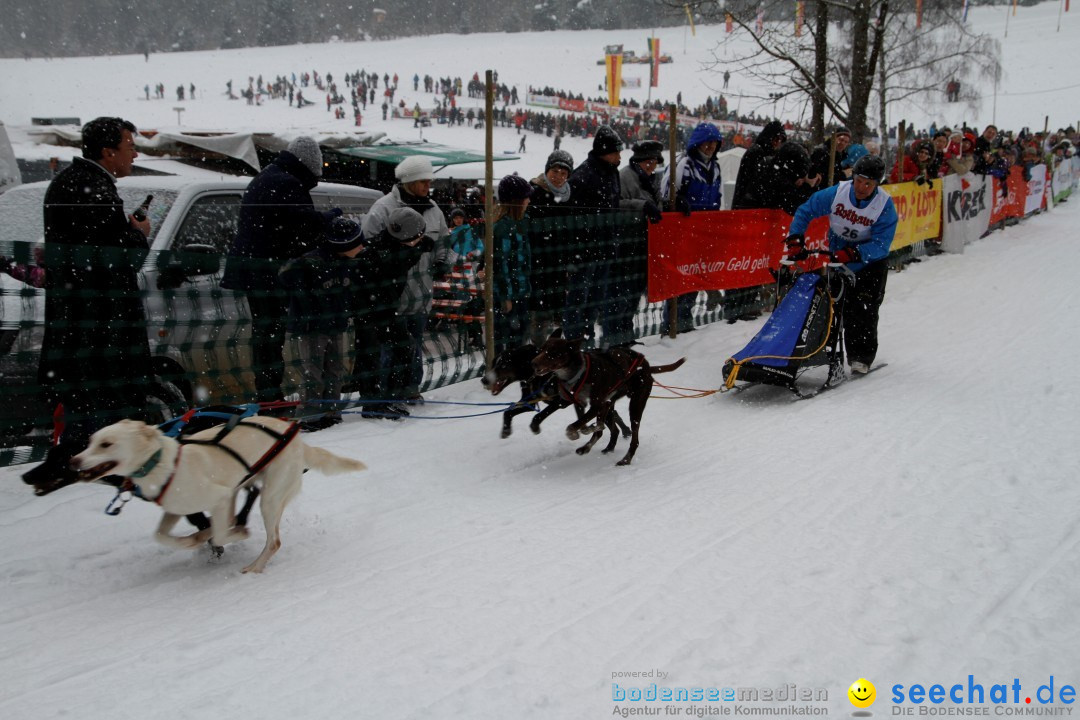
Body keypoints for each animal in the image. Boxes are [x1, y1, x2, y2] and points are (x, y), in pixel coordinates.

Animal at [72, 416, 367, 574]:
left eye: (106, 444)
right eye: (90, 442)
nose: (74, 461)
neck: (164, 465)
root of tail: (298, 440)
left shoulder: (221, 497)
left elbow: (222, 533)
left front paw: (235, 533)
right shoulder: (177, 507)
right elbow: (161, 535)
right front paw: (194, 539)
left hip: (271, 498)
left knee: (274, 542)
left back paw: (254, 567)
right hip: (251, 486)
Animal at [529, 338, 682, 468]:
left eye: (553, 352)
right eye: (541, 349)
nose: (533, 363)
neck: (579, 373)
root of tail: (646, 365)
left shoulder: (597, 405)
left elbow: (572, 427)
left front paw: (576, 433)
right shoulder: (571, 401)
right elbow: (573, 422)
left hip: (635, 405)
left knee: (634, 437)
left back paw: (625, 459)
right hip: (610, 405)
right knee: (609, 430)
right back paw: (593, 446)